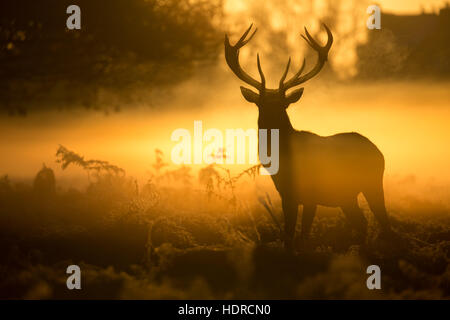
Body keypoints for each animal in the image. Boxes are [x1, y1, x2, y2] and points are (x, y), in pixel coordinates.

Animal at [225, 24, 390, 250]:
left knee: (384, 220)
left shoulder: (311, 194)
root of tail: (378, 152)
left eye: (284, 105)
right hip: (345, 195)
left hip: (372, 182)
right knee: (362, 222)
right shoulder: (286, 195)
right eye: (261, 104)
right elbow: (288, 234)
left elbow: (303, 235)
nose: (271, 122)